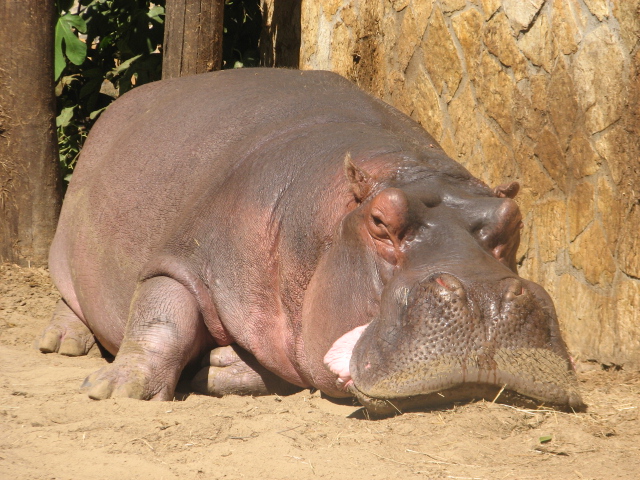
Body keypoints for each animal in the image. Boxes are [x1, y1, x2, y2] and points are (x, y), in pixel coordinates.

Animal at [39, 68, 583, 415]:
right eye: (381, 220)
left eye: (513, 219)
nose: (488, 300)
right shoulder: (186, 256)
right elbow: (160, 313)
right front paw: (114, 391)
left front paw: (217, 366)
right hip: (65, 250)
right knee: (73, 297)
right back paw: (62, 343)